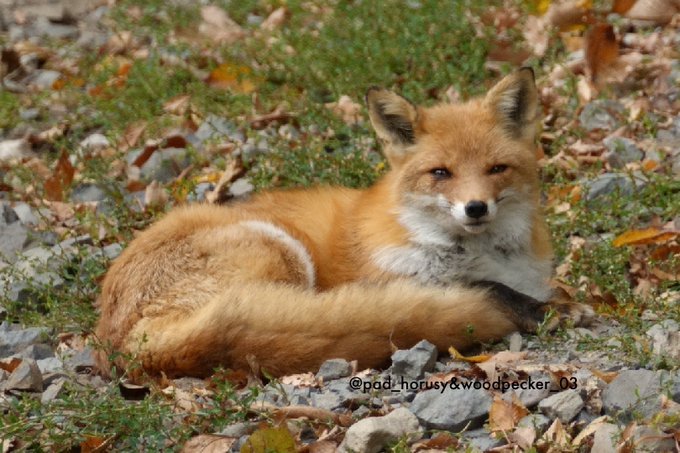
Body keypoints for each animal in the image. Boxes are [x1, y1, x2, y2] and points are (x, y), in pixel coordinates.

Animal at [94, 68, 593, 379]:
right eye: (441, 173)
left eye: (496, 169)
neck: (482, 254)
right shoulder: (406, 278)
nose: (475, 208)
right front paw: (548, 311)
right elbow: (495, 291)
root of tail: (124, 344)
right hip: (282, 253)